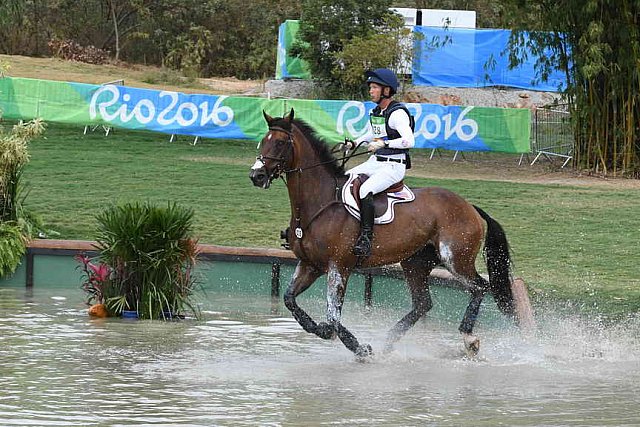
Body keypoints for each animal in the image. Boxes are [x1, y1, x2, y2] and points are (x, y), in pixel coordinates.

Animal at [250, 109, 528, 358]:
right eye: (263, 141)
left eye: (281, 143)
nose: (256, 175)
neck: (319, 202)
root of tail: (469, 207)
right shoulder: (310, 265)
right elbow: (290, 300)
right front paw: (326, 332)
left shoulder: (338, 267)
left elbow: (332, 317)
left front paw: (357, 347)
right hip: (415, 262)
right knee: (423, 303)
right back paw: (389, 340)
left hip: (455, 259)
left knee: (480, 287)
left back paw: (468, 337)